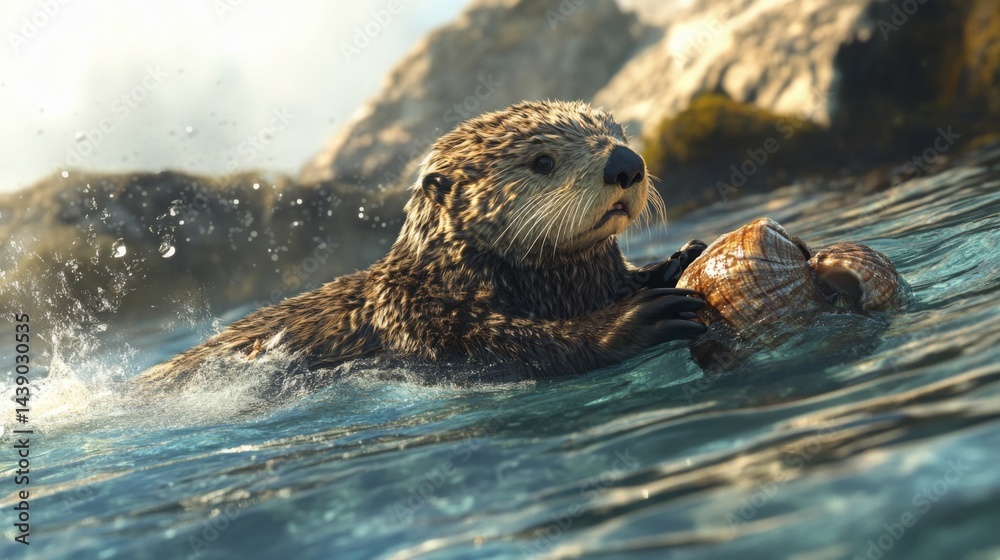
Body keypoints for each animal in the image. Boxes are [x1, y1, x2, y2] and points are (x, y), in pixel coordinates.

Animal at [139, 100, 708, 388]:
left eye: (619, 132)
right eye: (542, 161)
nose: (626, 163)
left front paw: (679, 258)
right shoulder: (421, 323)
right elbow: (514, 347)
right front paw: (636, 318)